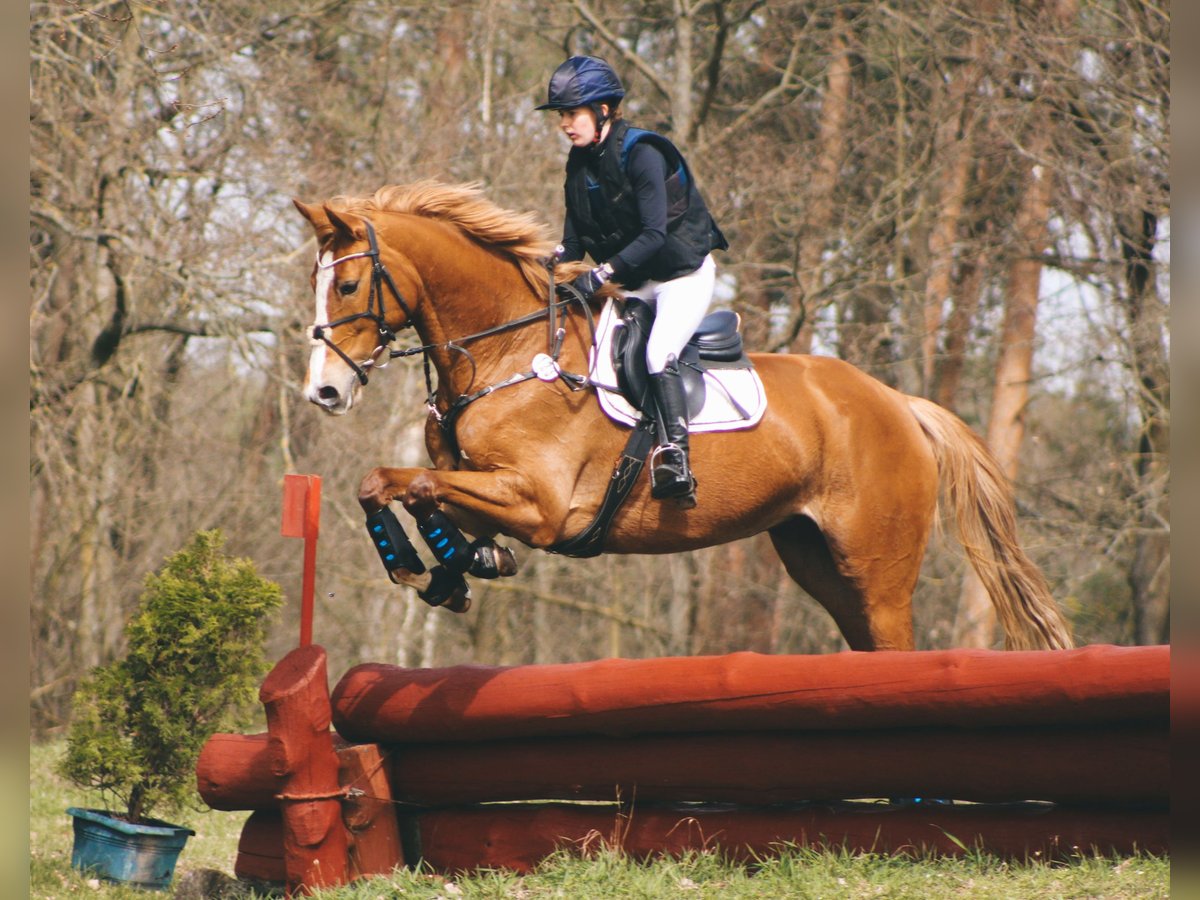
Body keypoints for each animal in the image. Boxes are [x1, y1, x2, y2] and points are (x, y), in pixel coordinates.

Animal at [295, 177, 1075, 657]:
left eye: (350, 285)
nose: (324, 393)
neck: (505, 352)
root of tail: (899, 405)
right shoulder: (483, 487)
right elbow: (402, 485)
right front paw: (455, 565)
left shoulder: (539, 504)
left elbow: (407, 482)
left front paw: (431, 564)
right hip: (816, 559)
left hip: (878, 569)